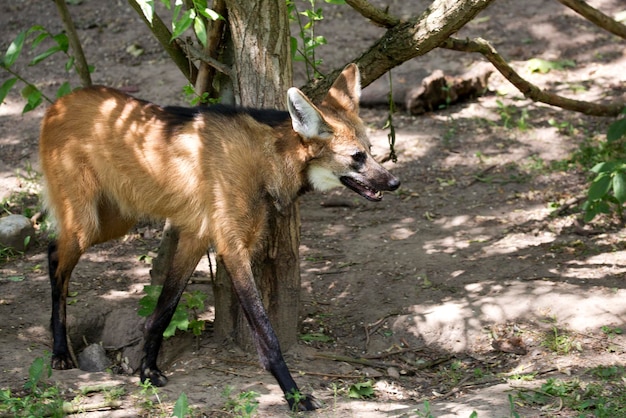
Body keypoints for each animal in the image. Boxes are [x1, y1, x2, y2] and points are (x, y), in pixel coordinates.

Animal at [40, 63, 400, 410]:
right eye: (357, 157)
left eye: (372, 150)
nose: (394, 183)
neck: (264, 161)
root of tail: (58, 103)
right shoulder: (232, 247)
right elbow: (266, 332)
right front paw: (295, 396)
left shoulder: (196, 236)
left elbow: (163, 310)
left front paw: (147, 370)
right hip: (87, 222)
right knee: (57, 257)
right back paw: (59, 352)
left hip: (118, 220)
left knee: (53, 247)